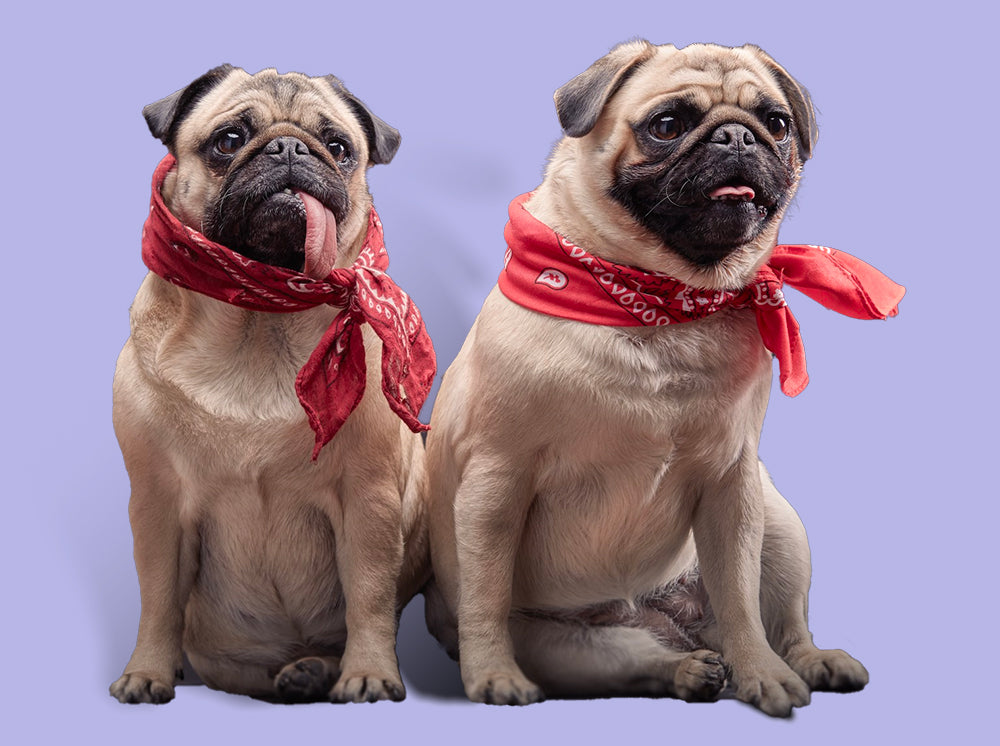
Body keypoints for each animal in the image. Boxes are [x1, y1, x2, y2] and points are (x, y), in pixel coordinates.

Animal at [110, 65, 430, 704]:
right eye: (228, 140)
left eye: (338, 147)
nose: (288, 148)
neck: (260, 319)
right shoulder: (157, 503)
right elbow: (157, 600)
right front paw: (147, 672)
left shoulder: (369, 498)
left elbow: (369, 594)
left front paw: (369, 673)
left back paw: (319, 669)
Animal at [426, 42, 872, 716]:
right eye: (667, 125)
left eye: (776, 123)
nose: (737, 135)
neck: (662, 302)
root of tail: (669, 621)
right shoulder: (494, 482)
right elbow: (485, 595)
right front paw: (493, 675)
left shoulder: (731, 485)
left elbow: (741, 601)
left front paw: (762, 673)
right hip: (566, 645)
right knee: (634, 660)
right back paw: (686, 670)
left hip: (779, 527)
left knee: (781, 620)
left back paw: (805, 660)